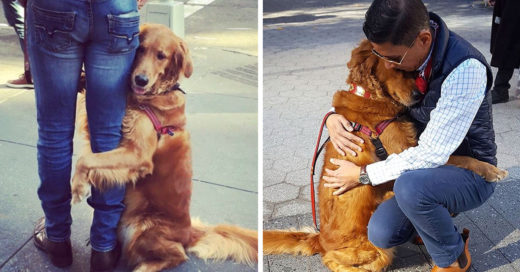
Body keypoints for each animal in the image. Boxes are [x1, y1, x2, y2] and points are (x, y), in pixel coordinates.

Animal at [70, 23, 256, 272]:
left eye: (162, 56)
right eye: (140, 49)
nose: (140, 80)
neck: (155, 95)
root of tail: (189, 233)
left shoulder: (139, 155)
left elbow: (86, 159)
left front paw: (77, 186)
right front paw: (82, 78)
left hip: (140, 228)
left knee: (177, 255)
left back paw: (142, 268)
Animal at [264, 38, 508, 272]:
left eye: (412, 71)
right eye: (397, 69)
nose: (418, 95)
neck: (371, 96)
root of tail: (320, 238)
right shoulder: (403, 149)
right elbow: (456, 158)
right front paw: (491, 170)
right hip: (374, 249)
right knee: (334, 260)